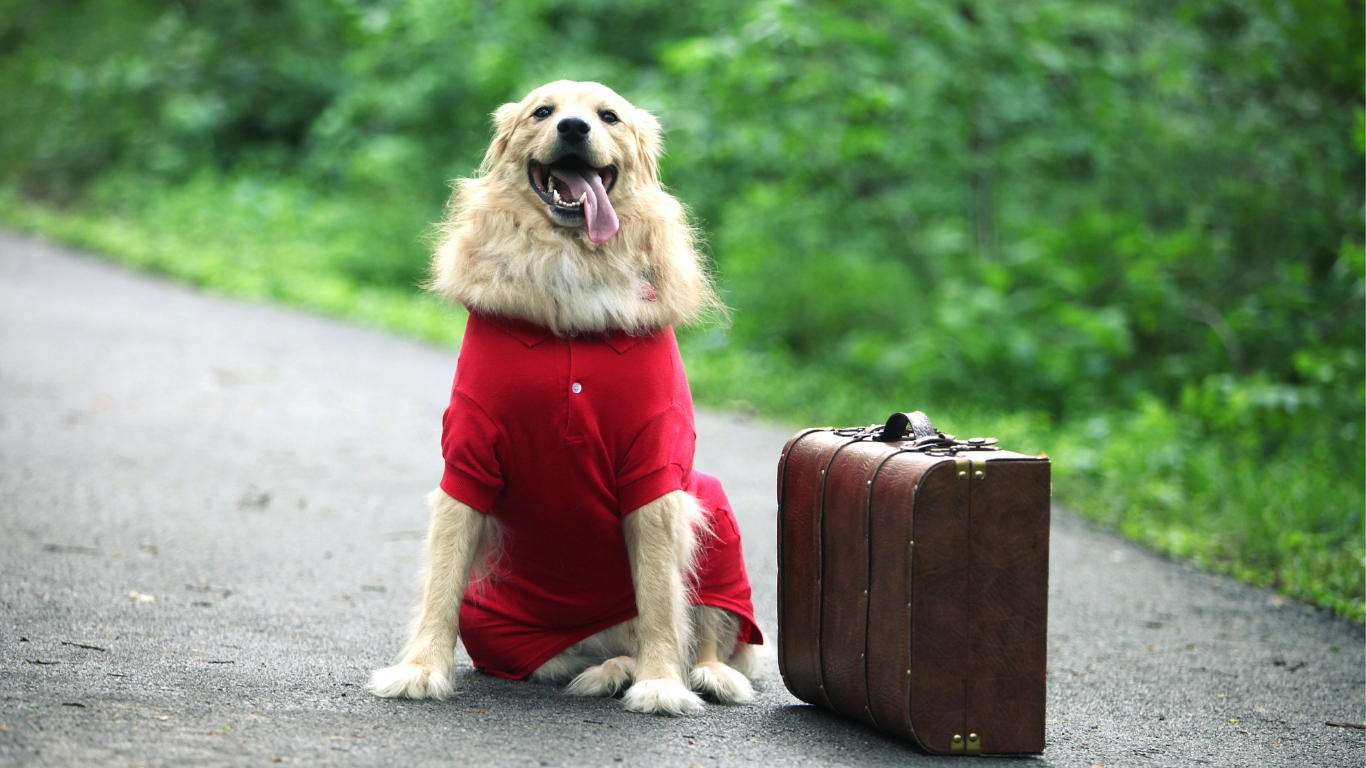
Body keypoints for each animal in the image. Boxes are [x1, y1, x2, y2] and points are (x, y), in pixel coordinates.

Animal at [368, 80, 764, 716]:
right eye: (543, 112)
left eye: (609, 117)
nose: (574, 129)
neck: (570, 266)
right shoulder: (467, 463)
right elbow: (441, 583)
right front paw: (420, 670)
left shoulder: (657, 473)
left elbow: (661, 597)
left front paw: (661, 684)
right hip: (499, 627)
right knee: (571, 658)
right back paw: (609, 670)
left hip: (713, 507)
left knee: (704, 632)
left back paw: (697, 674)